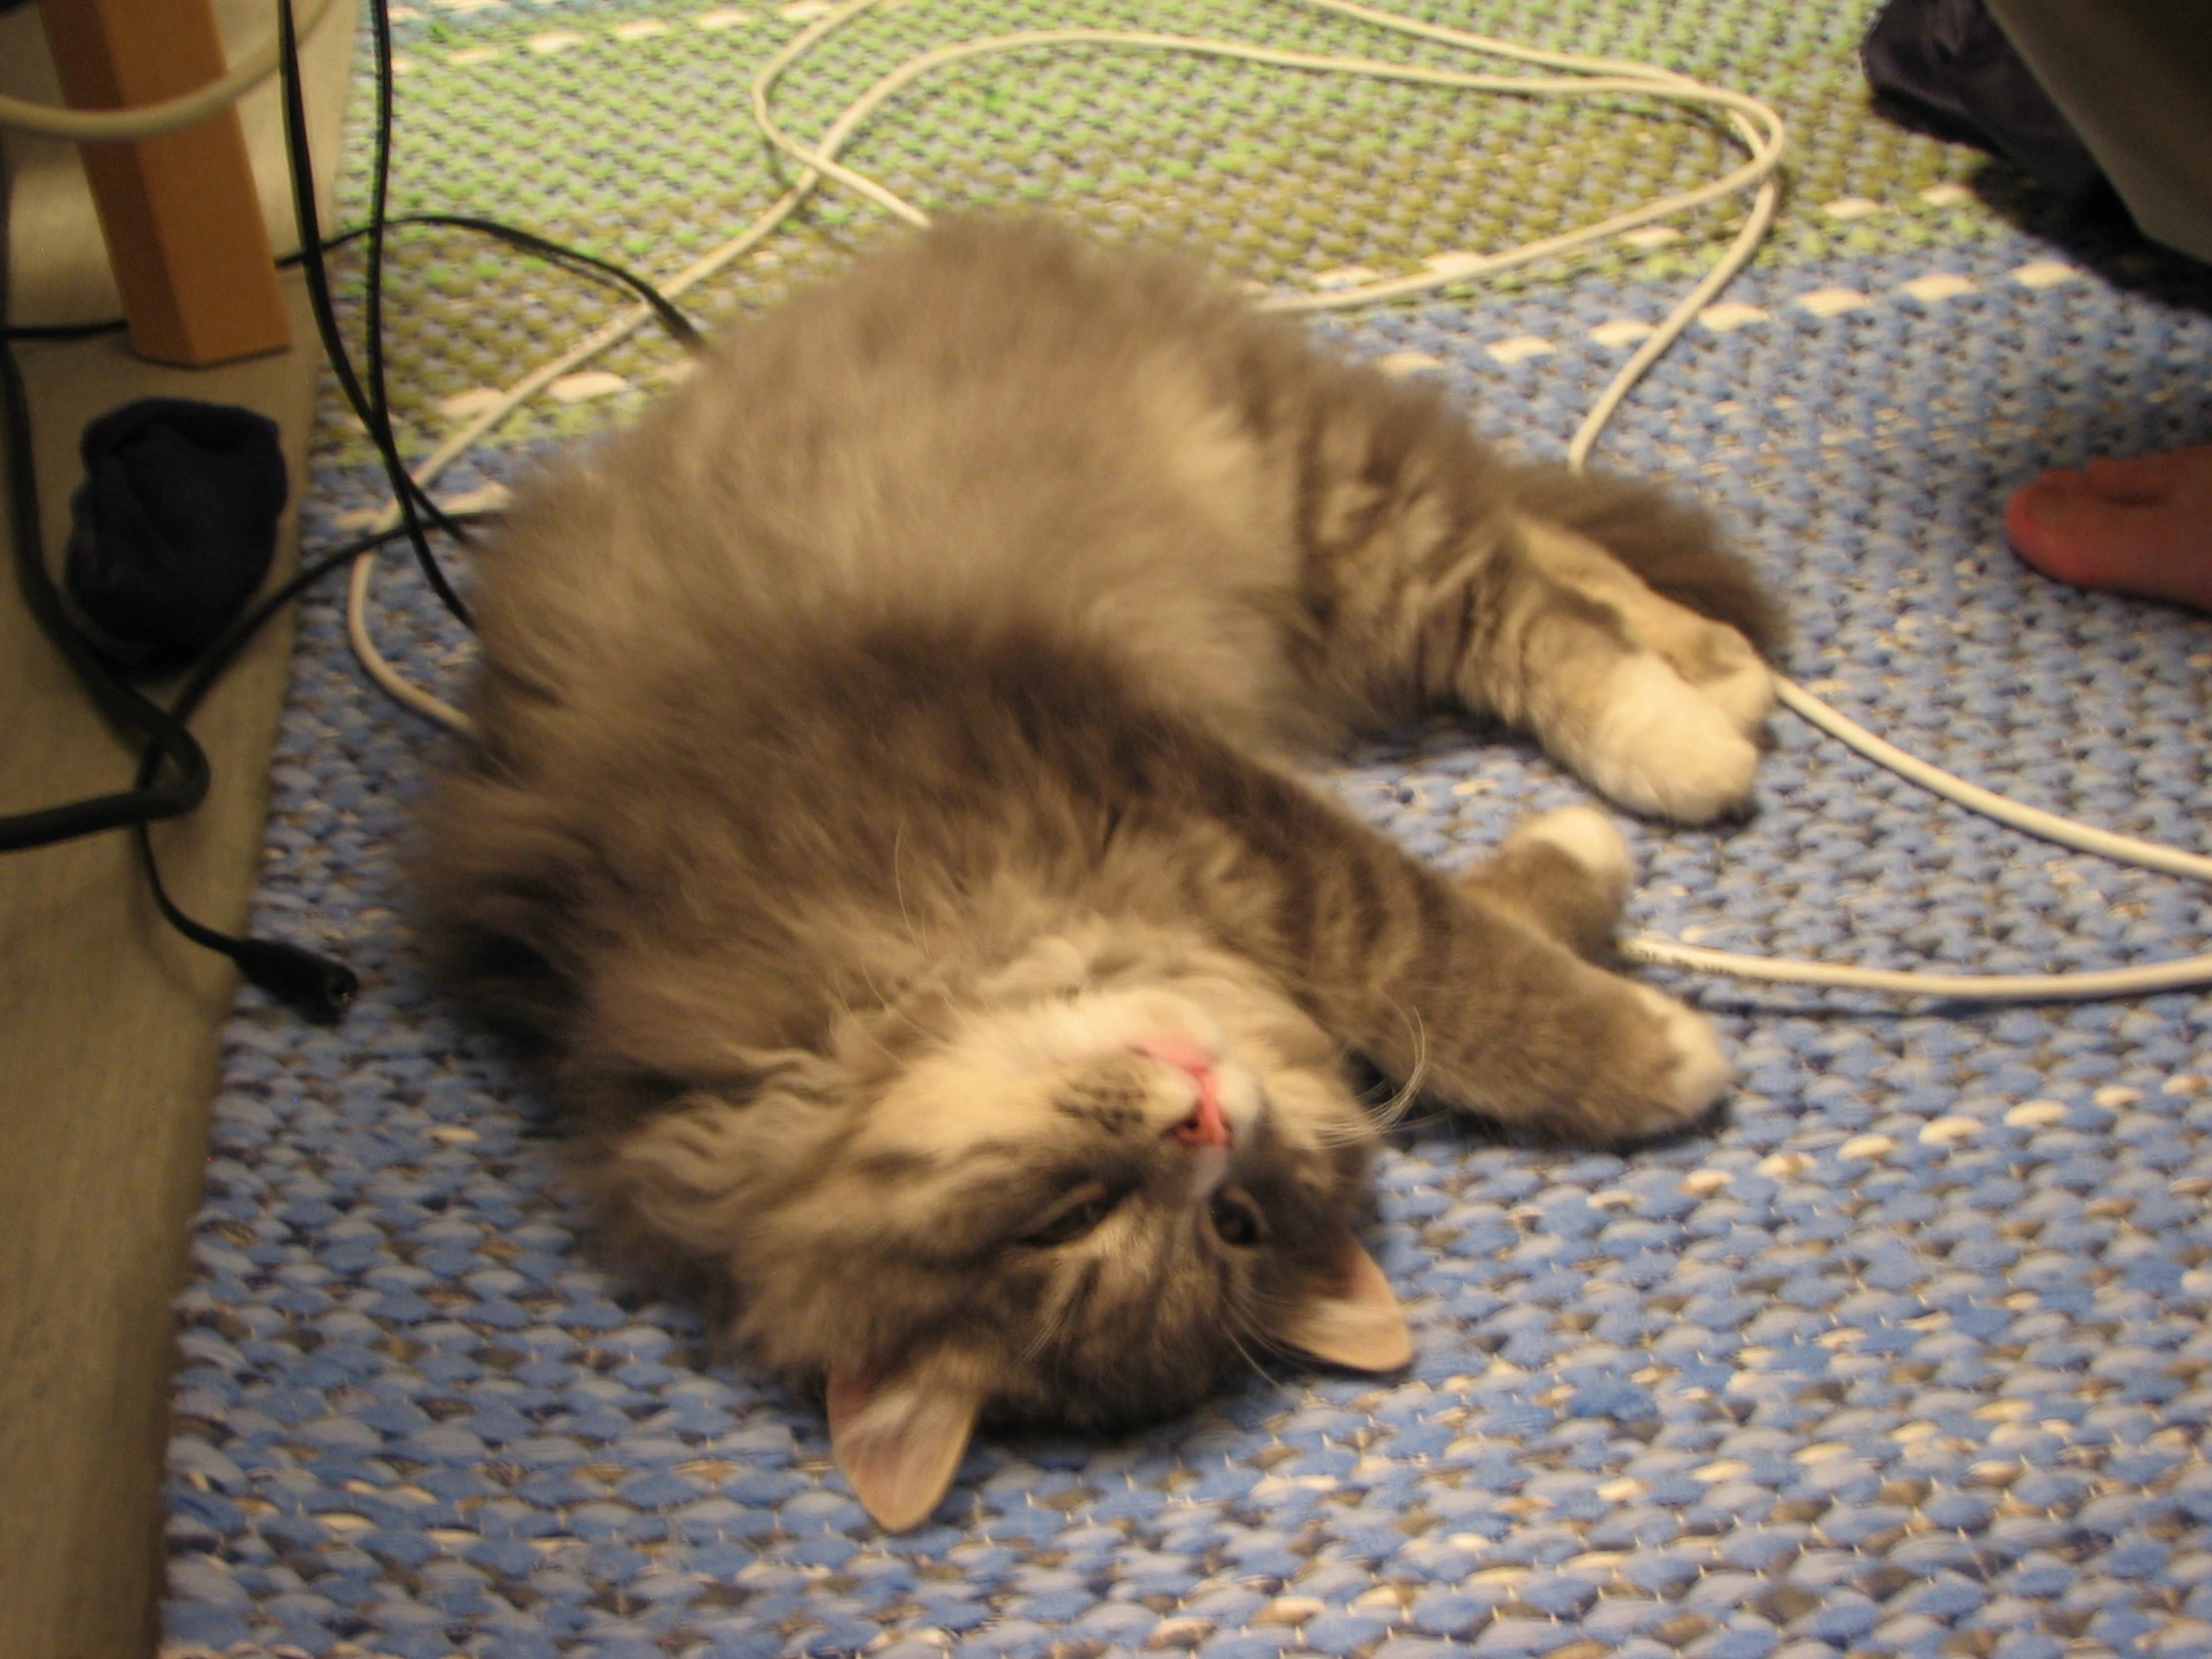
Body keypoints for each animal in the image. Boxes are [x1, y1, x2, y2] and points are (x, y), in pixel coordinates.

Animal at [411, 218, 1778, 1530]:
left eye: (1063, 1216)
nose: (1202, 1120)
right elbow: (1423, 989)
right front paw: (1602, 926)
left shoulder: (1169, 784)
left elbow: (1429, 958)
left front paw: (1653, 1039)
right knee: (1536, 551)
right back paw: (1711, 676)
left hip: (1331, 519)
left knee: (1526, 581)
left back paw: (1699, 705)